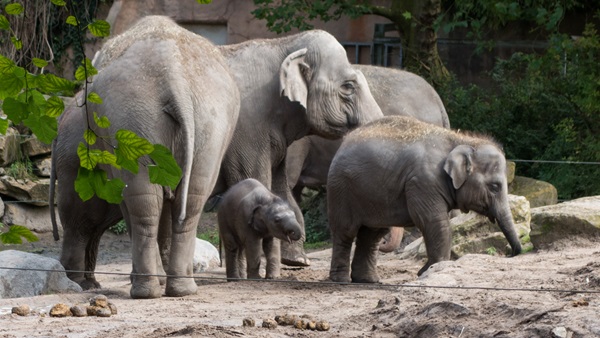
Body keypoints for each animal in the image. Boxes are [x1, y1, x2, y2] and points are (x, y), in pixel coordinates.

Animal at [49, 15, 240, 298]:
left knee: (138, 202)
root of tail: (175, 76)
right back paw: (180, 289)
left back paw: (138, 289)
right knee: (191, 199)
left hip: (133, 118)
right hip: (207, 120)